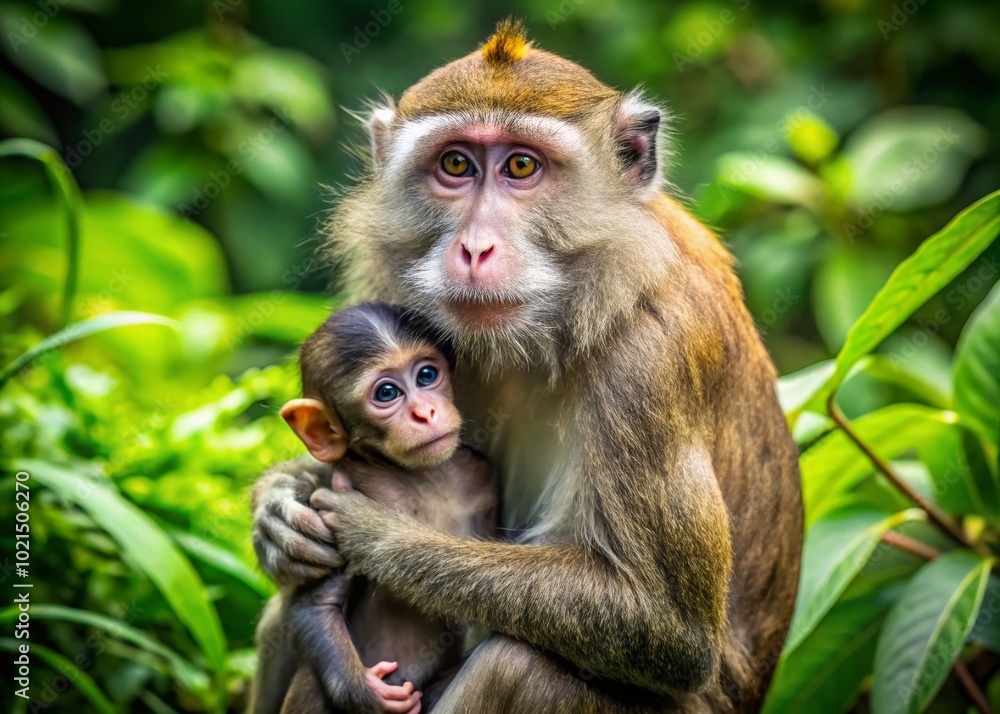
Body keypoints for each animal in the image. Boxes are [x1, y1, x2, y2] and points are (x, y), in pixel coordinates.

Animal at [248, 302, 497, 714]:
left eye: (427, 375)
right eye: (387, 393)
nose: (426, 412)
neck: (422, 478)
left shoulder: (482, 477)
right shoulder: (337, 493)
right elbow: (314, 605)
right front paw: (364, 692)